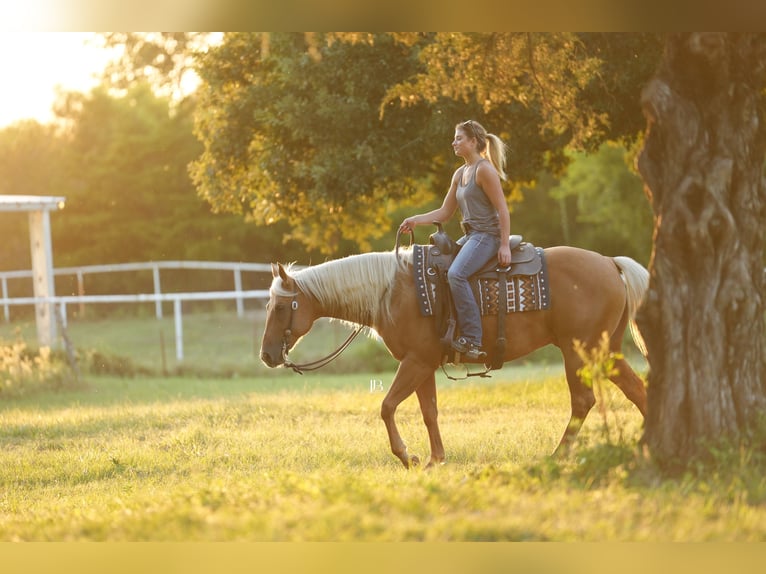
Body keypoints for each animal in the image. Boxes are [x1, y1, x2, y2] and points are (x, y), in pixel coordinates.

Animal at [259, 244, 649, 469]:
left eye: (279, 307)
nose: (266, 355)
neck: (392, 291)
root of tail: (610, 263)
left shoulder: (415, 361)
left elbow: (387, 406)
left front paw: (408, 457)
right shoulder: (424, 364)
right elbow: (429, 411)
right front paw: (435, 459)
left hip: (577, 350)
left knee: (583, 400)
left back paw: (558, 456)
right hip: (606, 350)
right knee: (638, 390)